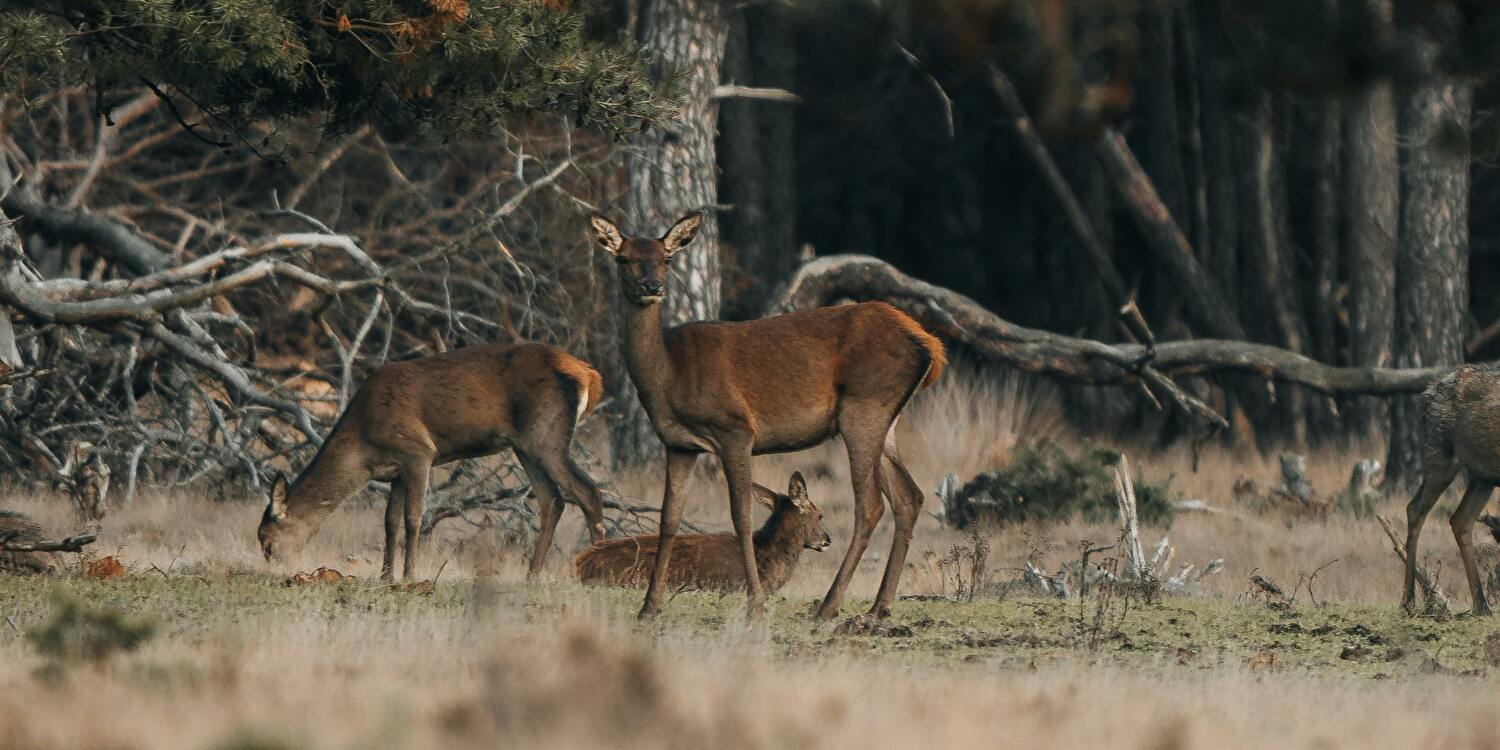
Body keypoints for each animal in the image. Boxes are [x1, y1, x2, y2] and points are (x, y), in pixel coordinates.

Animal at [258, 343, 609, 582]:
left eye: (267, 540)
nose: (274, 569)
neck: (362, 446)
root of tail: (590, 375)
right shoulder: (395, 472)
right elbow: (389, 521)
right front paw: (386, 574)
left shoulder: (418, 452)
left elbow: (414, 518)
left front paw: (409, 575)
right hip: (525, 445)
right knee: (552, 499)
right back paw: (531, 574)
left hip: (545, 436)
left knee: (588, 491)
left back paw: (597, 570)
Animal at [1398, 363, 1500, 615]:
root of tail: (1428, 393)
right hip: (1440, 455)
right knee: (1415, 508)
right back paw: (1407, 600)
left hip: (1482, 476)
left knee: (1461, 519)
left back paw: (1481, 604)